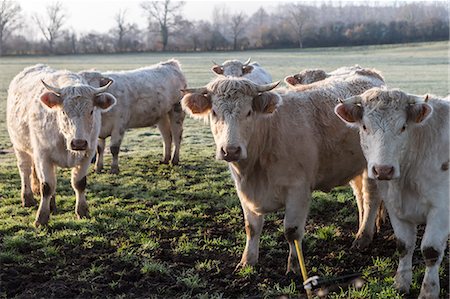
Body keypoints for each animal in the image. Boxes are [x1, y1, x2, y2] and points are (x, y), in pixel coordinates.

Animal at [7, 64, 116, 226]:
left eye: (91, 111)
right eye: (63, 111)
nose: (78, 143)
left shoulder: (87, 154)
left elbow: (79, 183)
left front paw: (82, 211)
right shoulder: (43, 155)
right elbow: (46, 186)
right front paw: (41, 218)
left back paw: (52, 205)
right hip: (20, 146)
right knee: (25, 170)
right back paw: (28, 198)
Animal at [181, 68, 384, 274]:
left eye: (248, 112)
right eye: (214, 113)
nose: (230, 150)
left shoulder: (298, 189)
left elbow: (291, 231)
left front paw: (294, 267)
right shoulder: (243, 191)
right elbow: (251, 227)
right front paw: (247, 261)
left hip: (371, 167)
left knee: (370, 198)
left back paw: (363, 237)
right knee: (360, 196)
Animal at [336, 87, 448, 299]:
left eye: (403, 127)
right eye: (364, 126)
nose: (383, 170)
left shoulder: (441, 210)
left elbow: (430, 252)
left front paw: (428, 292)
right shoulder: (394, 206)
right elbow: (404, 246)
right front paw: (400, 284)